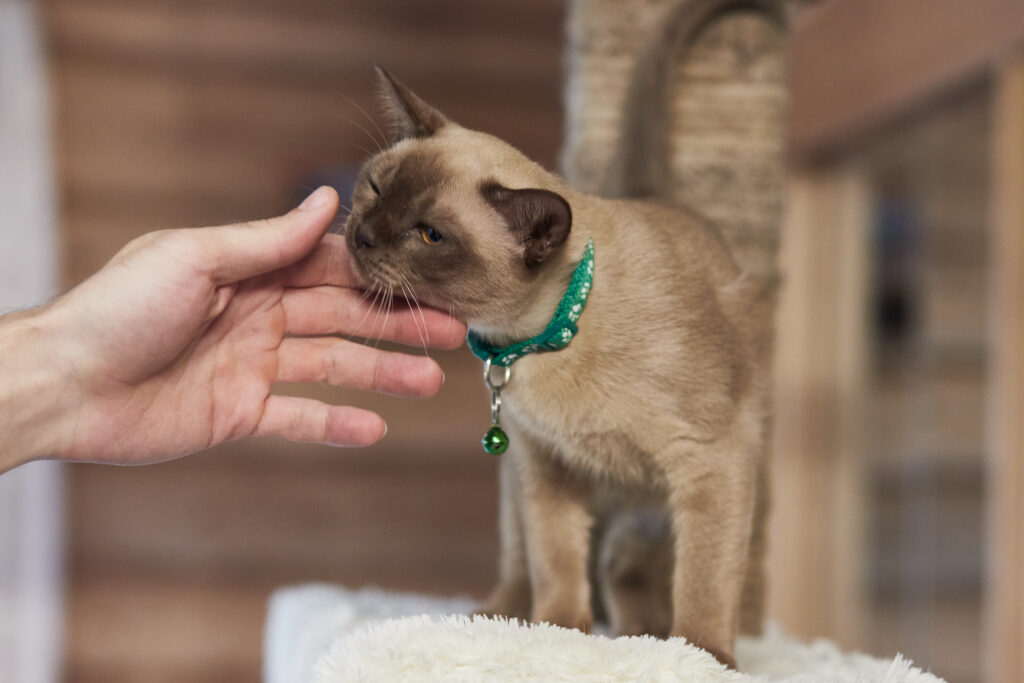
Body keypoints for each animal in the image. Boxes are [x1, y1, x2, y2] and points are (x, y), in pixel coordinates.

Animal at [339, 68, 770, 667]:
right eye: (377, 188)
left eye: (429, 234)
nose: (362, 234)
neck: (539, 340)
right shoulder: (546, 464)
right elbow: (557, 562)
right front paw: (559, 635)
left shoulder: (709, 462)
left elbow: (704, 581)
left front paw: (703, 658)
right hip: (520, 480)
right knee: (541, 566)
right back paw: (501, 618)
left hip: (651, 509)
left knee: (624, 566)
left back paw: (647, 636)